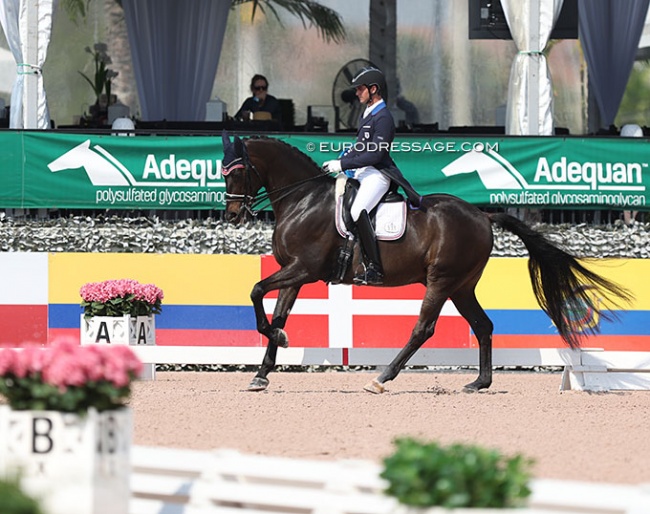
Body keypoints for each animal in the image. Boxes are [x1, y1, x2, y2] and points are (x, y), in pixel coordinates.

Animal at [220, 132, 632, 392]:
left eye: (236, 171)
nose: (233, 215)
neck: (302, 199)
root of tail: (483, 215)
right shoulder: (294, 274)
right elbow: (276, 314)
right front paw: (262, 372)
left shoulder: (303, 268)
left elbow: (256, 291)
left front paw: (277, 344)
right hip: (461, 286)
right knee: (483, 325)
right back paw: (479, 383)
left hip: (441, 281)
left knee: (423, 328)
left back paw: (381, 379)